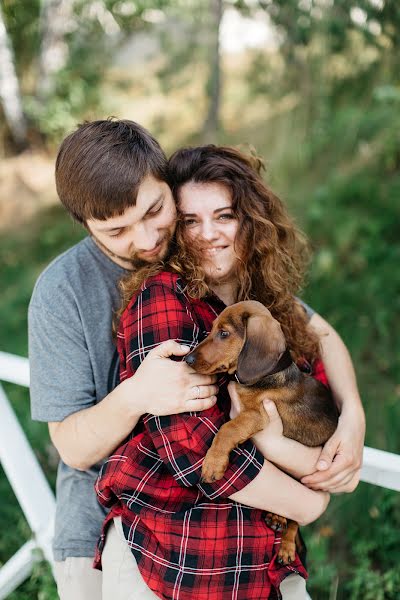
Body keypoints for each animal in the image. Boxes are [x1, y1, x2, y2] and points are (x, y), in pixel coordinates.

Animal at [184, 302, 338, 564]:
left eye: (223, 333)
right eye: (212, 329)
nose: (188, 358)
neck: (268, 375)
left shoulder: (257, 415)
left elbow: (227, 429)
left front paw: (213, 464)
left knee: (295, 520)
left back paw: (286, 544)